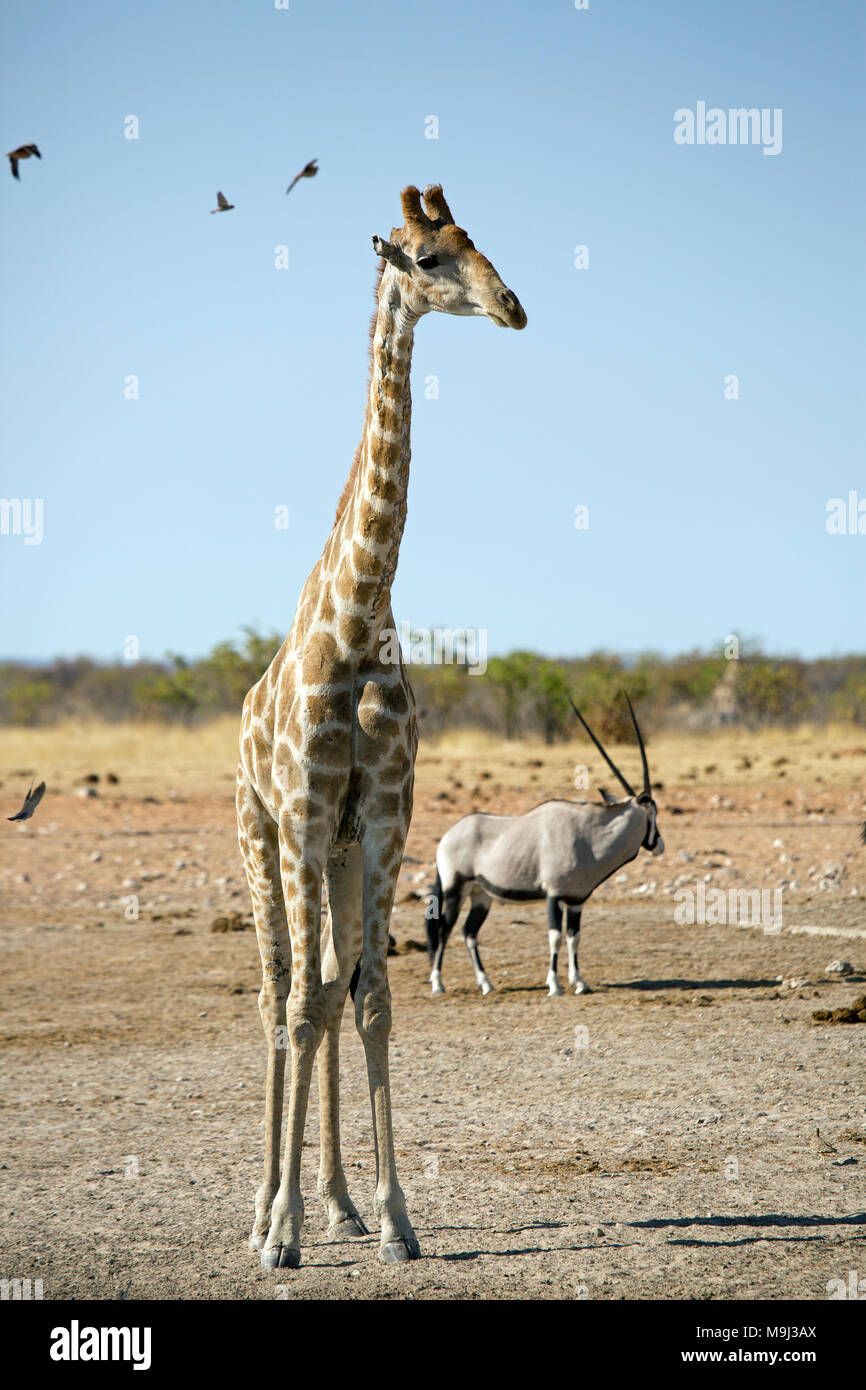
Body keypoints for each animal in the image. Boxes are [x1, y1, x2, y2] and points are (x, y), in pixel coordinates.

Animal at [233, 184, 525, 1273]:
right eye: (425, 258)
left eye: (479, 242)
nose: (513, 306)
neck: (358, 617)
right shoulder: (310, 813)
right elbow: (301, 1003)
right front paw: (279, 1232)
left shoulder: (384, 819)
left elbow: (367, 999)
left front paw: (393, 1216)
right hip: (263, 835)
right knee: (277, 991)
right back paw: (263, 1209)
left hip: (334, 850)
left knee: (323, 986)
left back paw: (338, 1204)